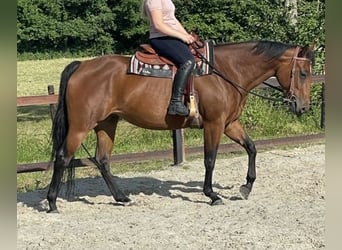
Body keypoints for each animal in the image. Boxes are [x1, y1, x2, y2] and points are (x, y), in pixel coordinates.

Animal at [46, 40, 314, 212]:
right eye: (302, 73)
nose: (303, 107)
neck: (226, 73)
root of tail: (81, 66)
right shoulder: (214, 124)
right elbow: (210, 159)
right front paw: (212, 195)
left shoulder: (230, 124)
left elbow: (251, 147)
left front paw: (246, 186)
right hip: (80, 126)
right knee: (62, 158)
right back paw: (52, 203)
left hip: (106, 124)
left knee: (102, 160)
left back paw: (122, 198)